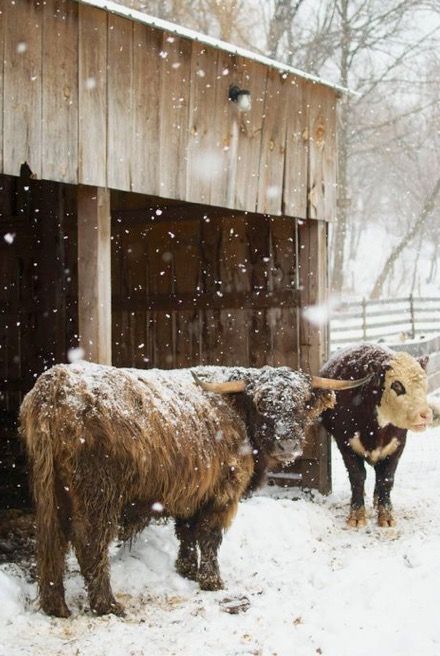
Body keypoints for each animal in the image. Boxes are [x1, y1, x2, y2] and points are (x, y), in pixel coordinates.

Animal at [19, 362, 368, 616]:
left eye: (302, 404)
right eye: (262, 405)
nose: (287, 445)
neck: (238, 413)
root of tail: (56, 383)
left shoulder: (190, 492)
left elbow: (186, 532)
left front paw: (185, 570)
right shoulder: (223, 492)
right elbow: (209, 536)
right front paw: (212, 580)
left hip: (52, 491)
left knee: (52, 542)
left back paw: (55, 606)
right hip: (98, 492)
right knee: (90, 542)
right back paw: (107, 604)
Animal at [320, 344, 434, 528]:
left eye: (424, 384)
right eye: (397, 385)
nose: (425, 414)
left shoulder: (397, 446)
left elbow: (386, 479)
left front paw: (386, 515)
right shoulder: (345, 444)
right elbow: (357, 477)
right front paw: (357, 515)